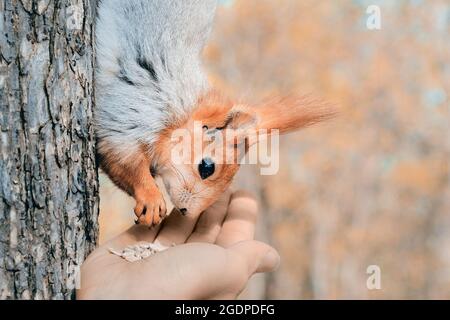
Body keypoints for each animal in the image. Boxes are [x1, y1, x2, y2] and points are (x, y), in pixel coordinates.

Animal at [94, 0, 334, 226]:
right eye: (207, 167)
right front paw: (151, 198)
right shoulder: (136, 108)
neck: (185, 111)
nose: (186, 212)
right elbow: (122, 156)